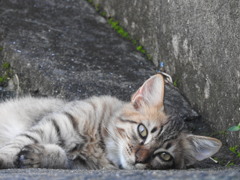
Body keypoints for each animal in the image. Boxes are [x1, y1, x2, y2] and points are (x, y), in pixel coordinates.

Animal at [0, 74, 222, 169]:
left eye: (165, 156)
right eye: (143, 131)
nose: (139, 159)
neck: (97, 145)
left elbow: (62, 158)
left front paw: (41, 155)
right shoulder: (51, 125)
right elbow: (17, 143)